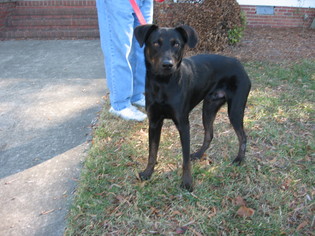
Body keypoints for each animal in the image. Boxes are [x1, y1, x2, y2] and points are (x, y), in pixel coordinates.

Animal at [135, 24, 252, 192]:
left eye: (176, 44)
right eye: (156, 43)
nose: (167, 64)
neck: (163, 84)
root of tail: (239, 64)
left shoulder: (183, 124)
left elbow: (185, 159)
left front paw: (187, 182)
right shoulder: (154, 122)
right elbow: (152, 151)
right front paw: (148, 173)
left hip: (235, 110)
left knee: (243, 136)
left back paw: (239, 159)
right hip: (209, 108)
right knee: (209, 135)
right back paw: (198, 154)